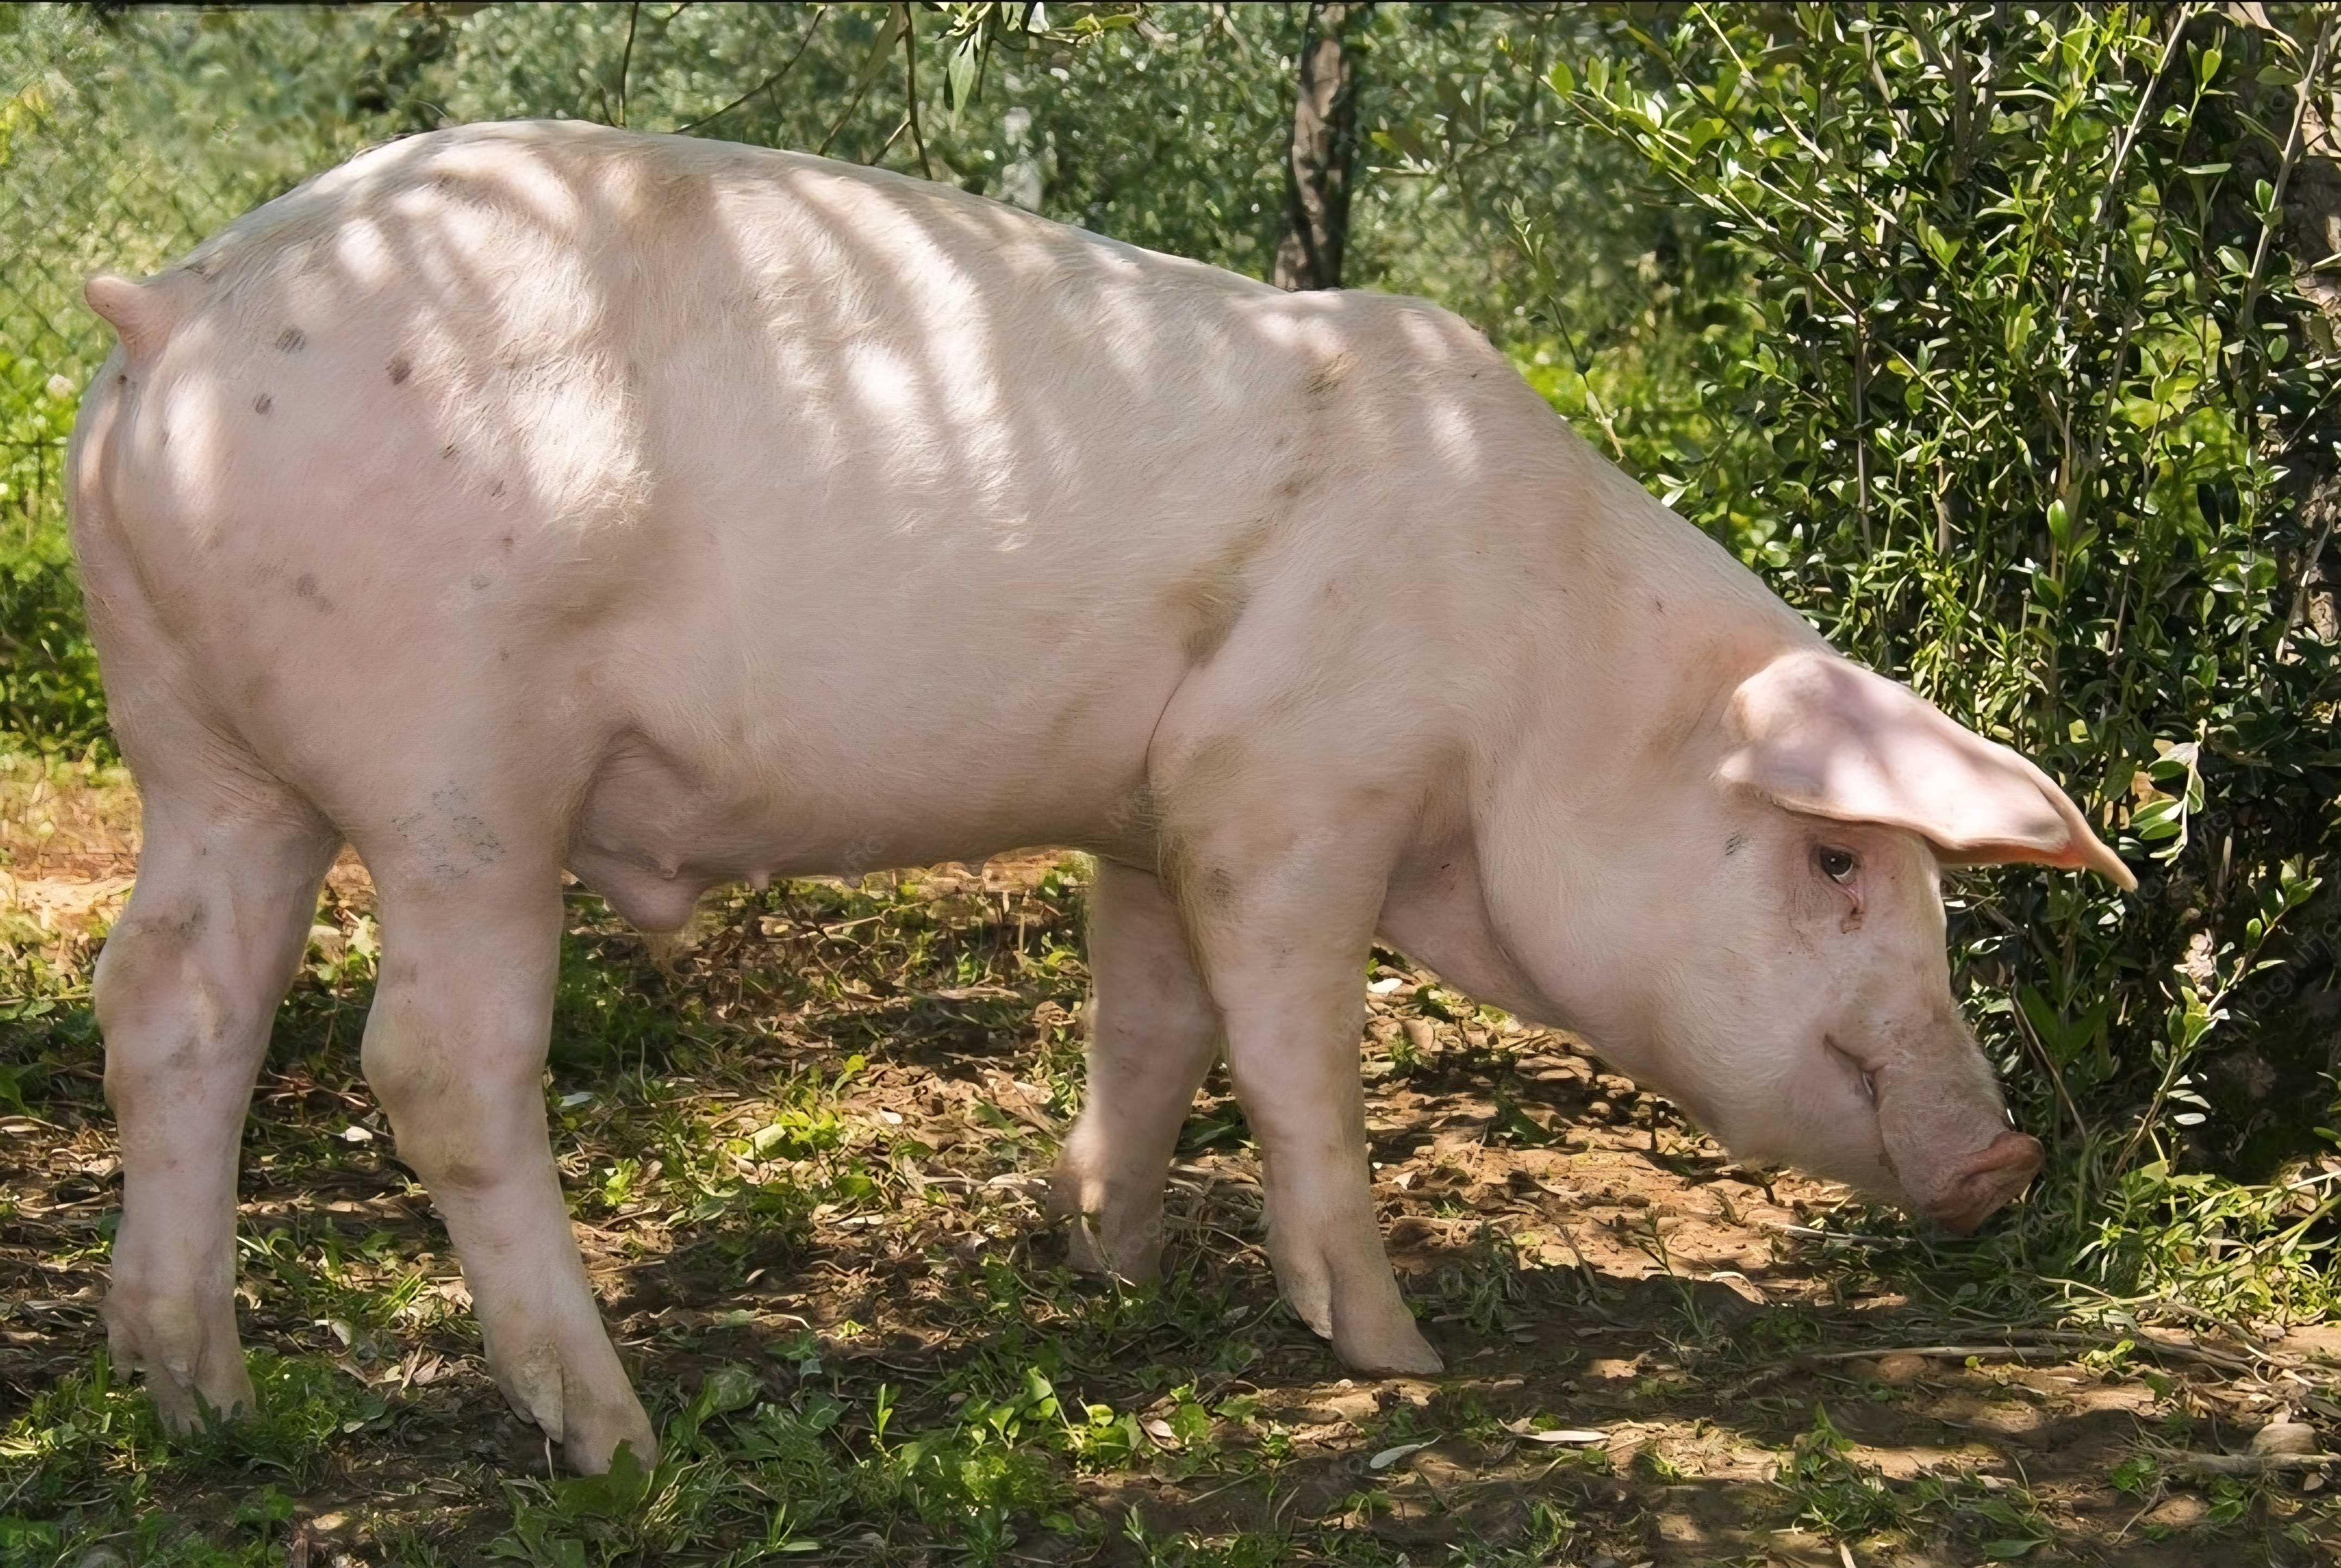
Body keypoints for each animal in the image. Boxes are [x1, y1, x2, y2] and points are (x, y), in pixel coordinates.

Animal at [69, 120, 2133, 1475]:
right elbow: (1295, 1055)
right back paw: (618, 1435)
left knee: (166, 1001)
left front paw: (1113, 1262)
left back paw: (204, 1406)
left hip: (205, 750)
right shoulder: (1283, 783)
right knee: (430, 1058)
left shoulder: (1147, 809)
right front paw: (1396, 1352)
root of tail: (175, 309)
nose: (2006, 1153)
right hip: (457, 754)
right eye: (1833, 856)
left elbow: (1150, 1024)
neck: (1538, 670)